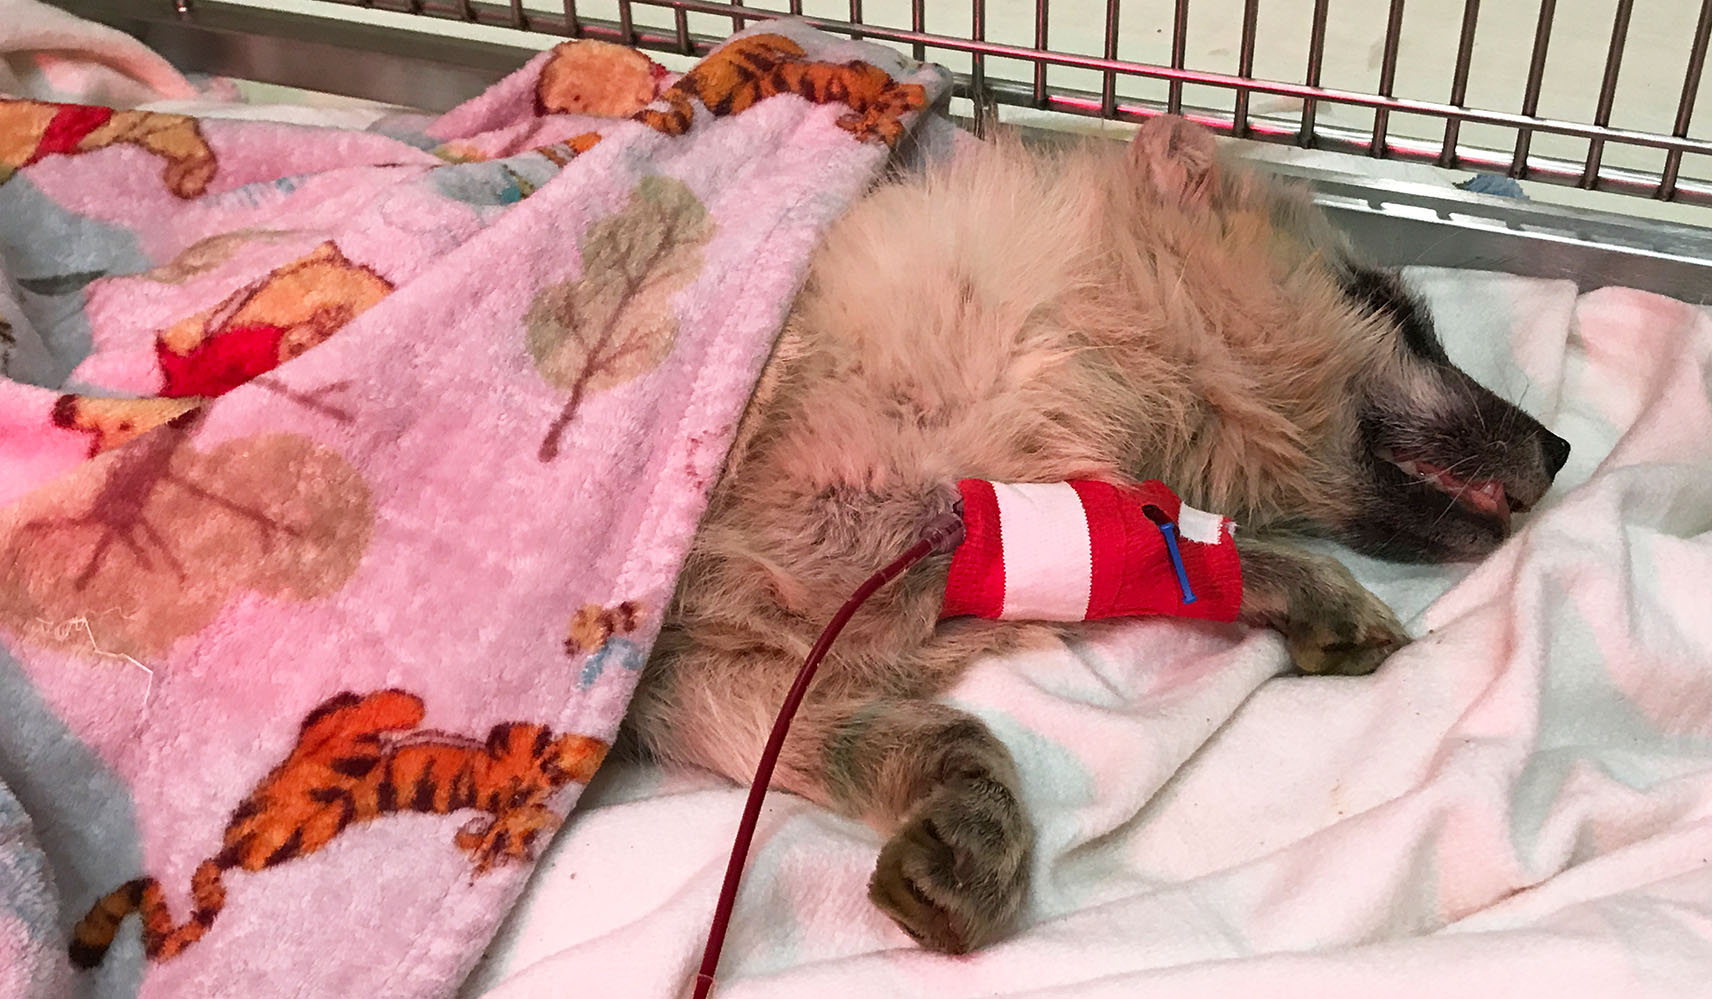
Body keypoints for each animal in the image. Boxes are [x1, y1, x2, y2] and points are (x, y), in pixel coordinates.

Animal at [624, 115, 1571, 954]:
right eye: (1380, 303)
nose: (1563, 449)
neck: (1094, 319)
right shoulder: (855, 520)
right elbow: (1154, 538)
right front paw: (1311, 589)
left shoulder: (703, 670)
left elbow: (908, 729)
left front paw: (962, 832)